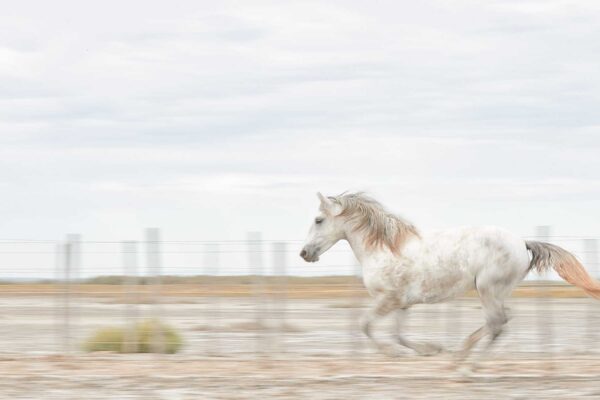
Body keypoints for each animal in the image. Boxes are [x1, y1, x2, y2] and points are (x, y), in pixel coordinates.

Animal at [300, 192, 600, 364]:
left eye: (318, 220)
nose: (304, 253)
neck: (385, 248)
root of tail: (522, 242)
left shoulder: (388, 300)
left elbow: (365, 325)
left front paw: (396, 354)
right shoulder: (402, 304)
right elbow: (398, 334)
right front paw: (429, 349)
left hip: (487, 289)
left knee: (497, 323)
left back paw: (469, 367)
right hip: (495, 291)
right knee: (501, 320)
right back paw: (460, 354)